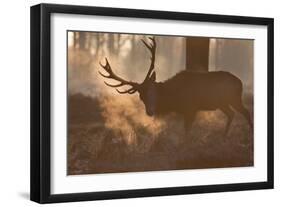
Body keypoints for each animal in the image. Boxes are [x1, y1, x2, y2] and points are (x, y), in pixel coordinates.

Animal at [99, 36, 252, 134]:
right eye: (141, 97)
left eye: (154, 91)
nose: (150, 111)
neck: (175, 99)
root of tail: (240, 81)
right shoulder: (186, 111)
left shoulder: (191, 108)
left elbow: (187, 131)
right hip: (222, 103)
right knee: (232, 114)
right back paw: (224, 136)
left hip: (234, 98)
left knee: (245, 112)